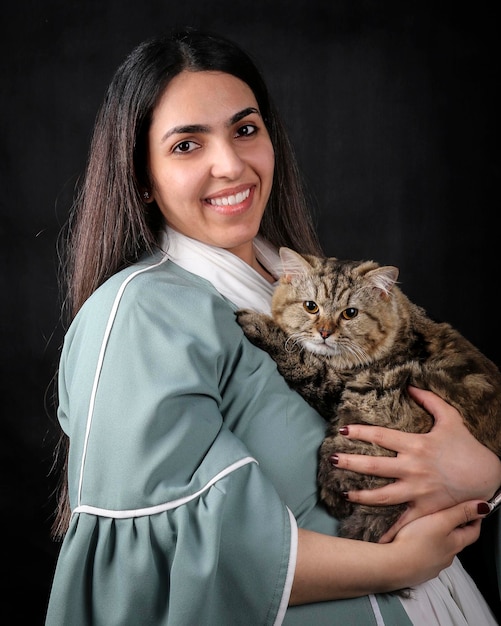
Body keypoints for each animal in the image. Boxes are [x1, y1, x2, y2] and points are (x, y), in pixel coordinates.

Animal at [236, 247, 500, 540]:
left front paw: (258, 323)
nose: (324, 332)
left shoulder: (333, 386)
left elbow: (299, 357)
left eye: (350, 313)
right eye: (311, 306)